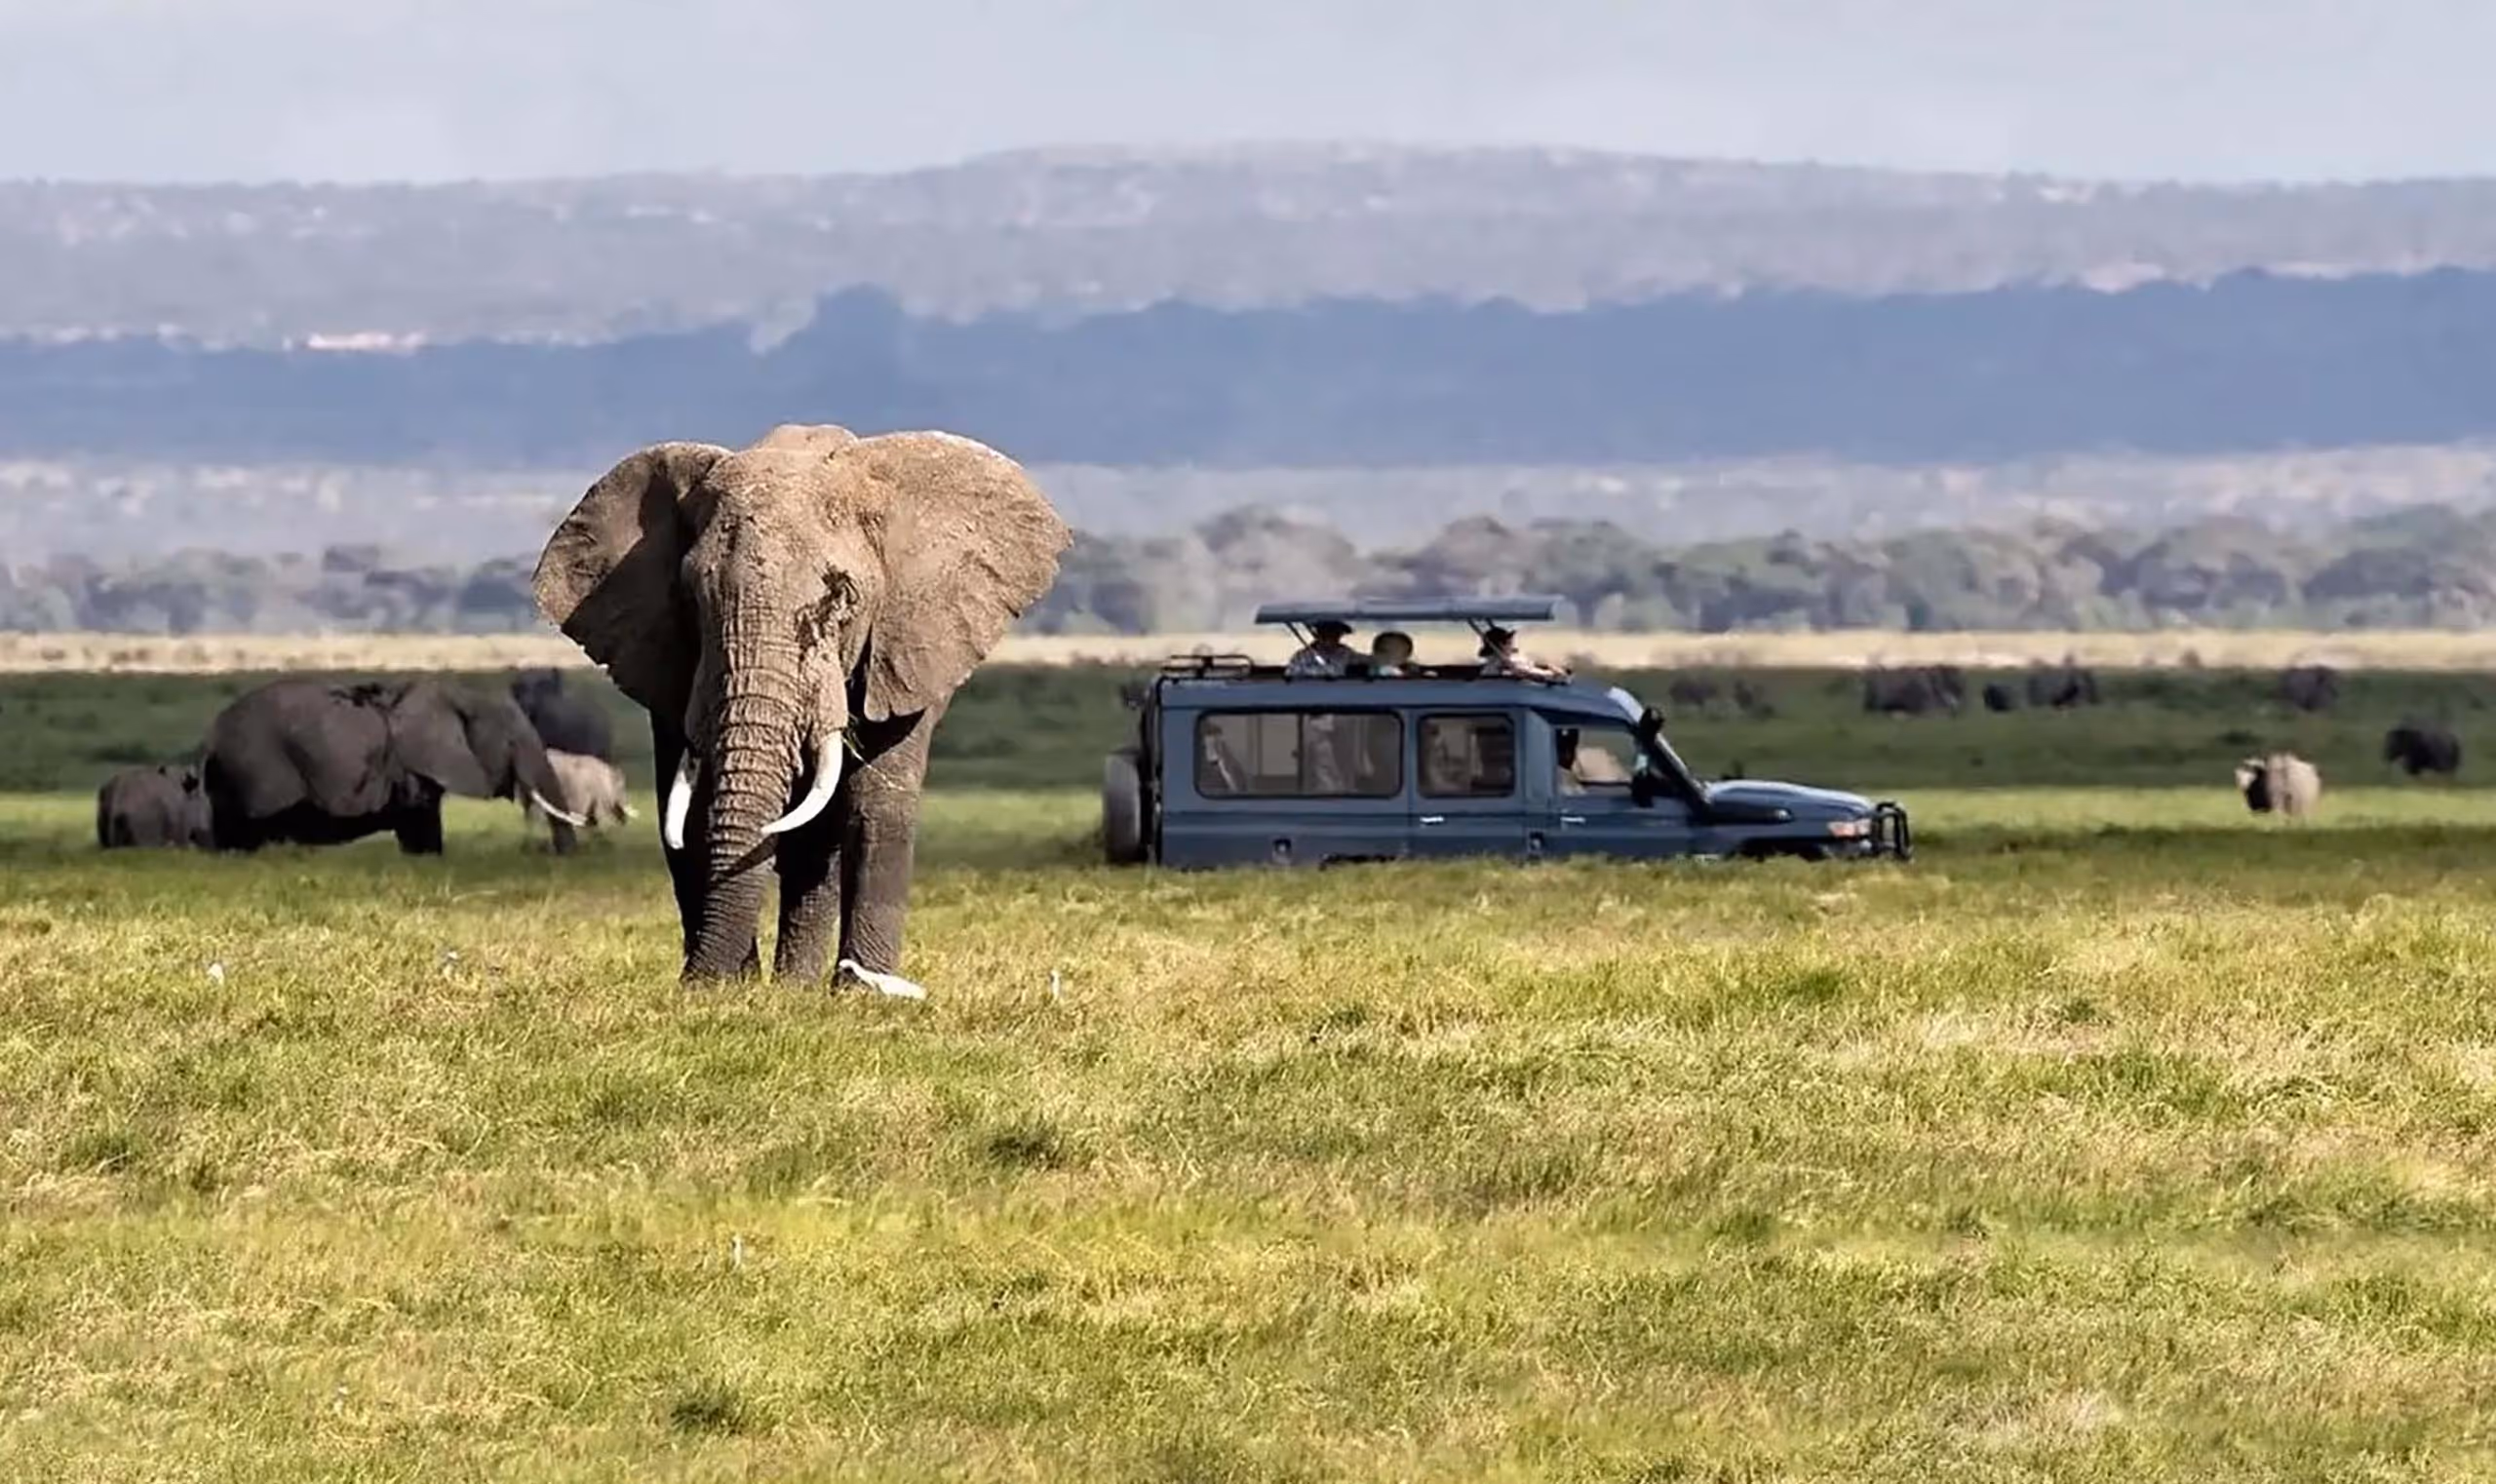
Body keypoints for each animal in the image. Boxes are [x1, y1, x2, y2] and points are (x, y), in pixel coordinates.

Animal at [203, 678, 584, 854]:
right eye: (510, 743)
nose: (560, 857)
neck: (458, 694)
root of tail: (213, 737)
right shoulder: (410, 767)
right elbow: (419, 822)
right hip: (260, 767)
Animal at [532, 423, 1070, 984]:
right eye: (693, 598)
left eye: (843, 598)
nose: (699, 979)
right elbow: (691, 810)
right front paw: (723, 987)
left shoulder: (907, 649)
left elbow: (874, 807)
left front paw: (860, 991)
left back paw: (799, 985)